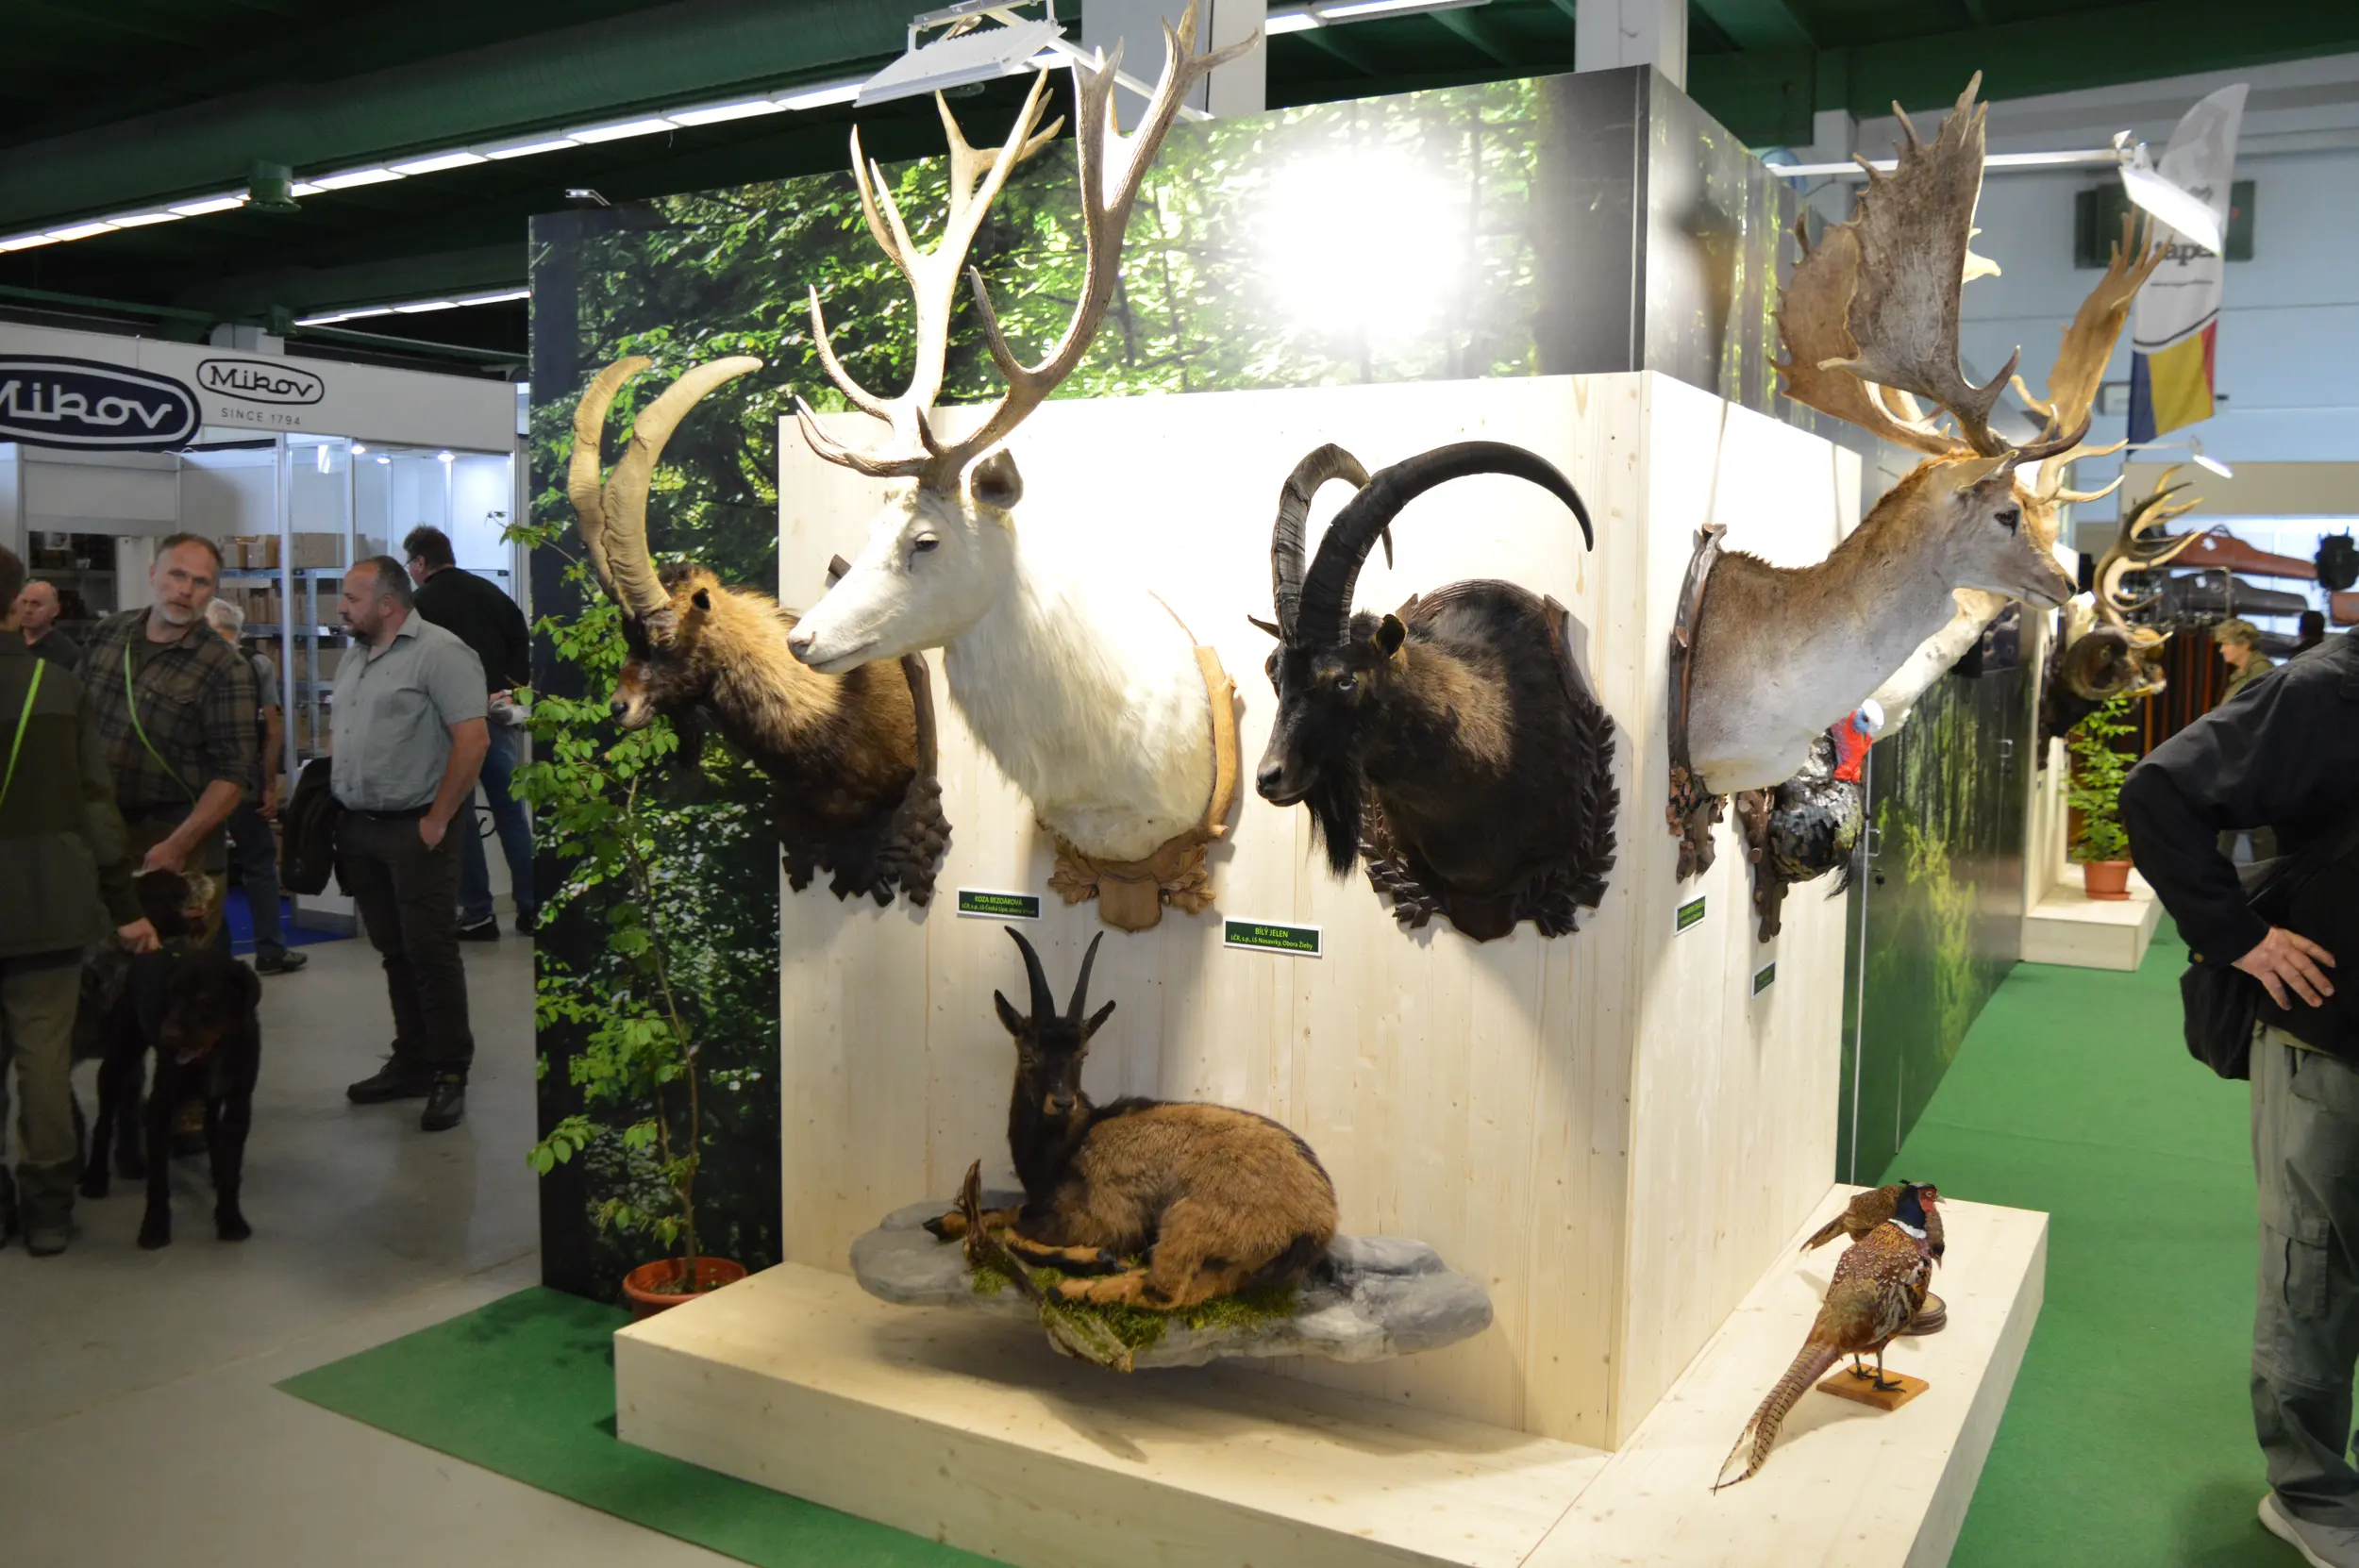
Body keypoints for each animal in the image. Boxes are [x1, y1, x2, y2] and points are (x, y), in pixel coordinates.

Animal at [925, 927, 1338, 1312]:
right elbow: (1008, 1211)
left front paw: (1095, 1257)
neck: (1072, 1142)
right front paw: (943, 1221)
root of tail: (1318, 1220)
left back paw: (1076, 1288)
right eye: (1028, 1054)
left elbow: (1016, 1230)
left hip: (1191, 1219)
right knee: (1198, 1290)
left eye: (1083, 1054)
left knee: (1165, 1290)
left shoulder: (1100, 1216)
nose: (1062, 1102)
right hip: (1235, 1264)